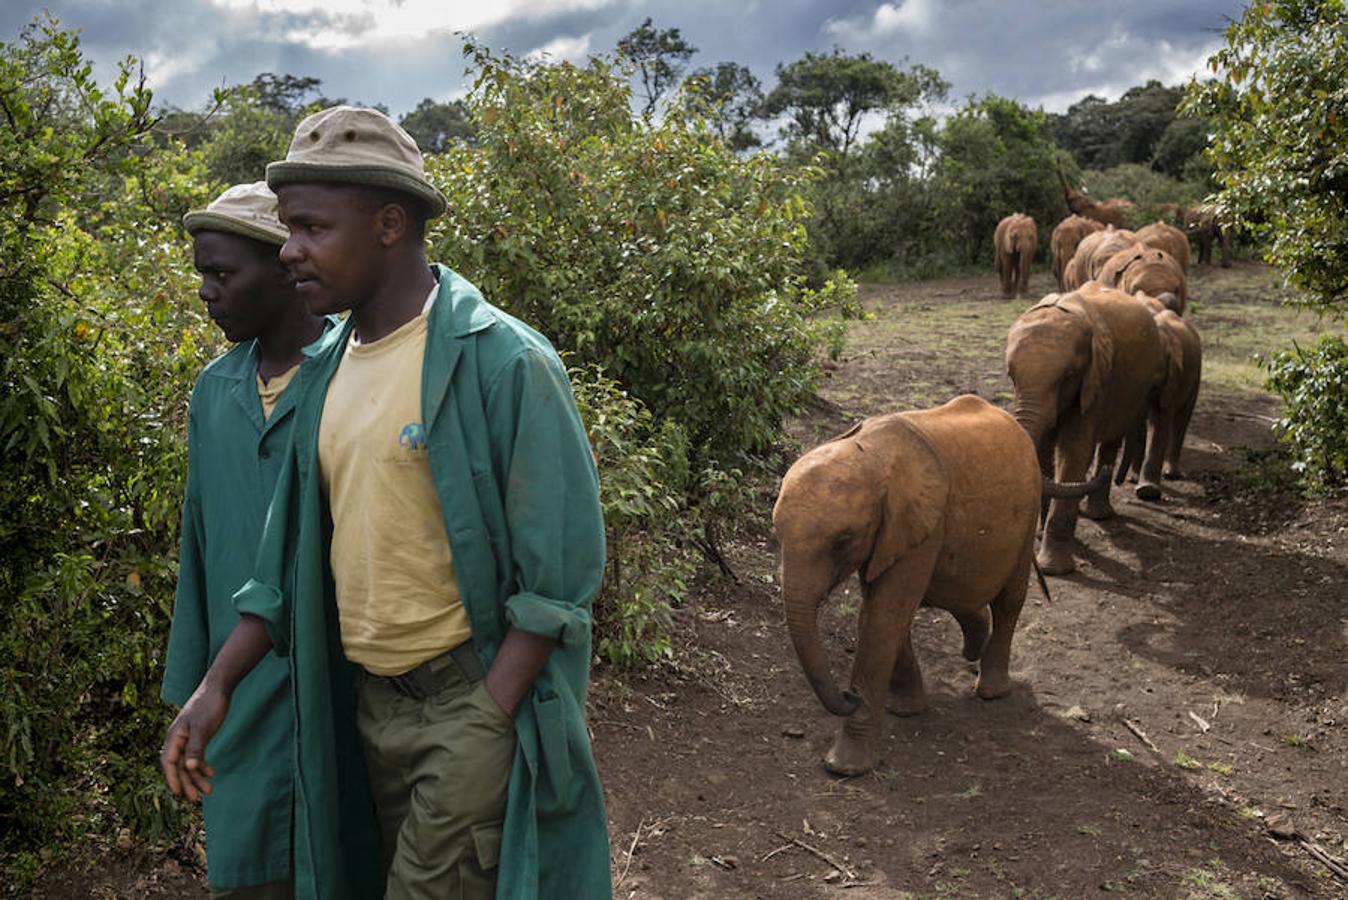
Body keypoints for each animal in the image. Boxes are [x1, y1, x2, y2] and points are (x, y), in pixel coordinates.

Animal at [771, 396, 1040, 776]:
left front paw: (845, 767)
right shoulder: (889, 535)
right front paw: (905, 711)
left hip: (1031, 510)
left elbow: (884, 617)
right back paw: (973, 648)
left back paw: (991, 691)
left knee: (1009, 599)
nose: (850, 696)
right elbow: (881, 612)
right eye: (776, 533)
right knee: (960, 595)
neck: (871, 454)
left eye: (842, 541)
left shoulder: (920, 525)